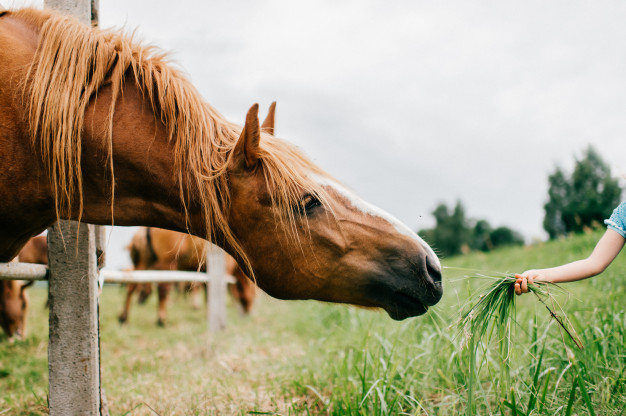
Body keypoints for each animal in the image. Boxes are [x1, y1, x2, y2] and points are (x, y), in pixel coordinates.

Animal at [118, 226, 255, 326]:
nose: (249, 311)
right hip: (166, 265)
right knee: (163, 289)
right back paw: (162, 319)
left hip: (144, 263)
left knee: (131, 286)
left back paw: (124, 318)